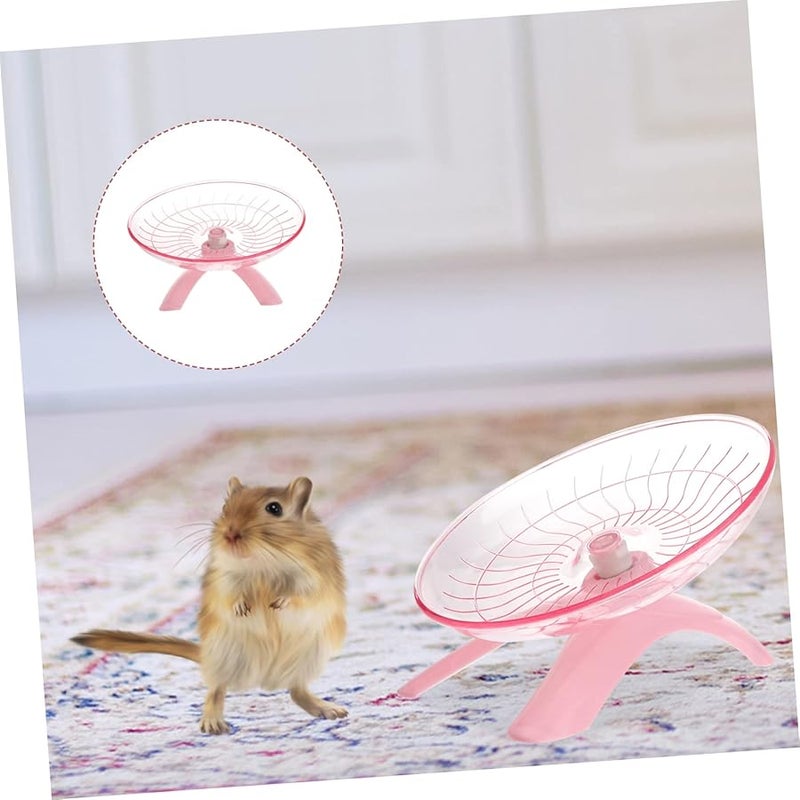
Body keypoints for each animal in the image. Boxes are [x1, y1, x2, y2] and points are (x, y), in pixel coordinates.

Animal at [71, 475, 347, 734]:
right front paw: (243, 609)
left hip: (308, 658)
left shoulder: (315, 577)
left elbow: (301, 594)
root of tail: (263, 679)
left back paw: (332, 710)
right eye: (225, 506)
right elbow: (231, 596)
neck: (262, 563)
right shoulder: (224, 578)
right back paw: (213, 723)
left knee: (296, 691)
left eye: (274, 508)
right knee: (216, 690)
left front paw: (278, 603)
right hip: (225, 654)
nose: (230, 534)